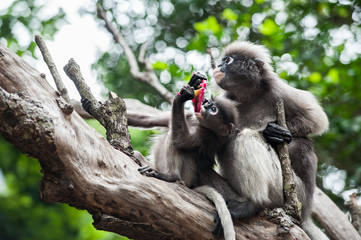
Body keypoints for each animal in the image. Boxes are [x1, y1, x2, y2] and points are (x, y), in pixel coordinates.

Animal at [214, 41, 330, 240]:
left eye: (228, 60)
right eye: (222, 60)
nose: (218, 65)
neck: (249, 95)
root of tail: (306, 210)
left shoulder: (278, 90)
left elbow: (316, 119)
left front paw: (270, 132)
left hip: (293, 190)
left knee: (253, 138)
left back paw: (254, 204)